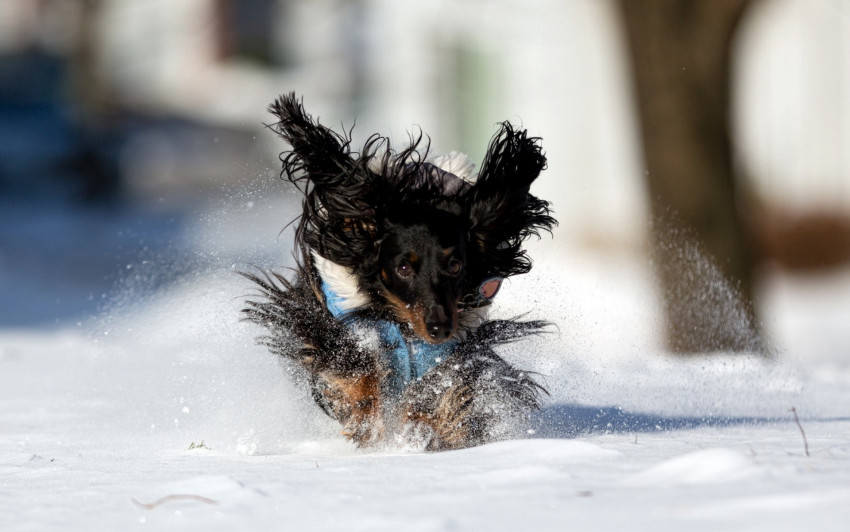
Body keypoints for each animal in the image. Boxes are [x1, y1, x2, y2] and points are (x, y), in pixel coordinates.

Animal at [240, 93, 556, 450]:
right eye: (403, 267)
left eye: (455, 265)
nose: (439, 328)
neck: (404, 326)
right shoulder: (332, 326)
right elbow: (353, 368)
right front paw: (367, 418)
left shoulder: (455, 348)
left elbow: (449, 389)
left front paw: (434, 426)